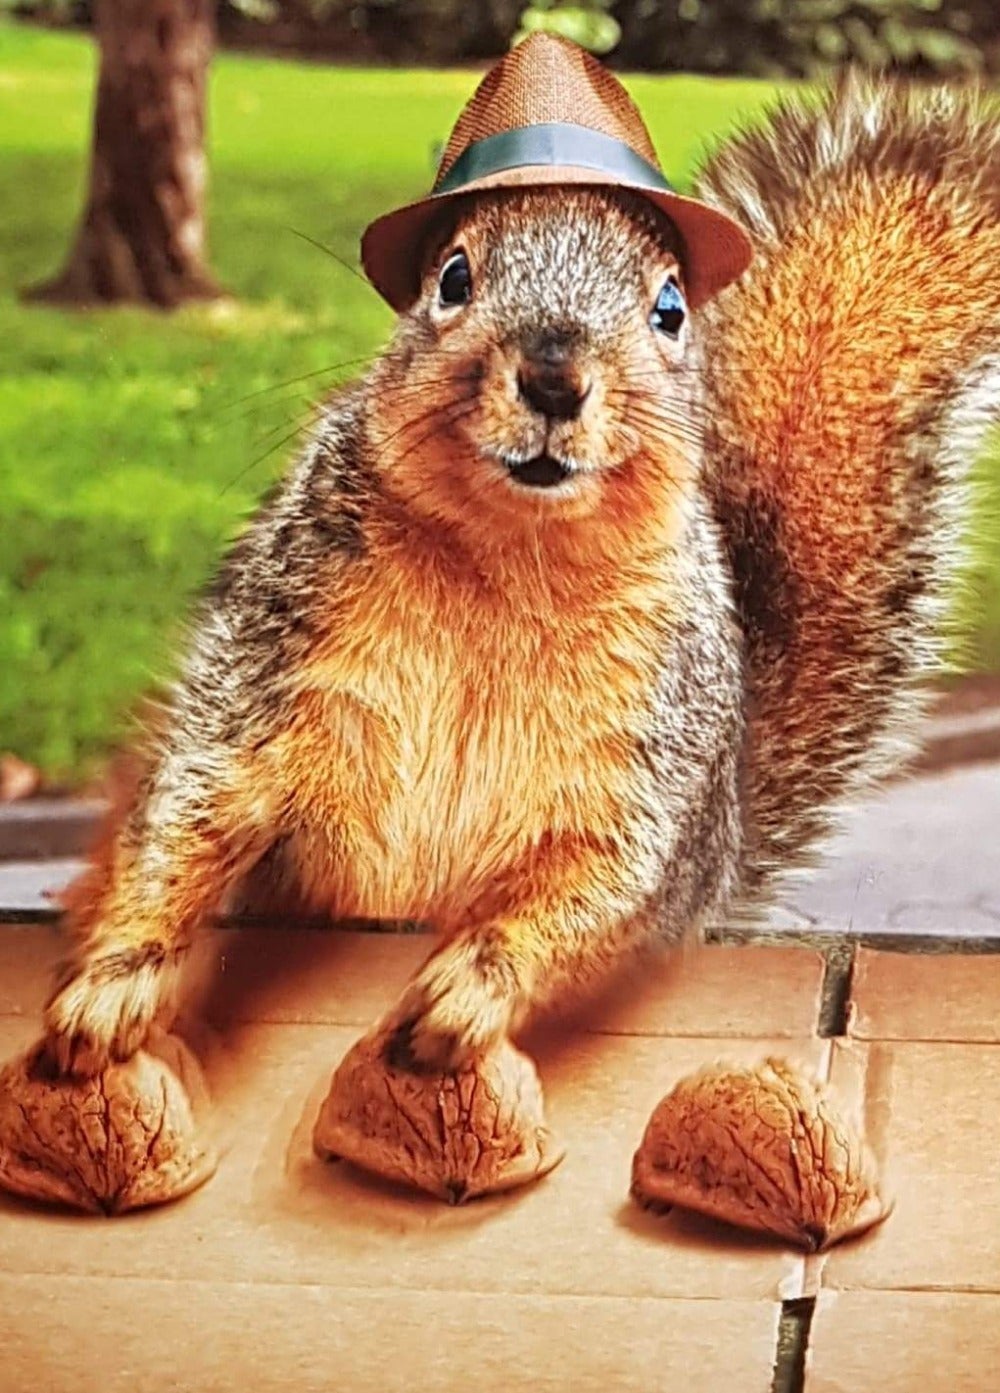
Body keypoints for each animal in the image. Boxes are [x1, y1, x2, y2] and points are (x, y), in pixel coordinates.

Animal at [42, 53, 1000, 1080]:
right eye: (452, 277)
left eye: (671, 307)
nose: (552, 377)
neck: (509, 561)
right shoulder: (277, 654)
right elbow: (196, 806)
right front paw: (115, 980)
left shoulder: (644, 753)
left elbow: (594, 880)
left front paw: (472, 986)